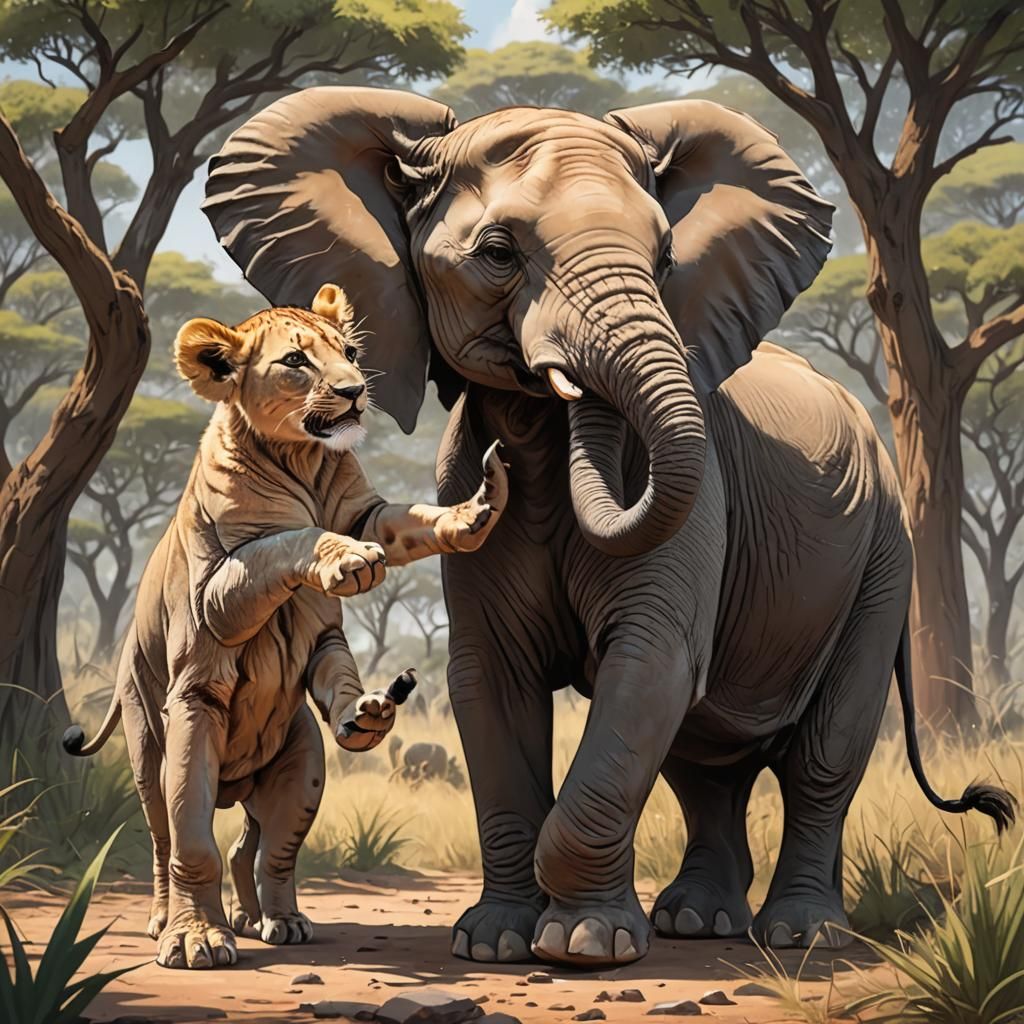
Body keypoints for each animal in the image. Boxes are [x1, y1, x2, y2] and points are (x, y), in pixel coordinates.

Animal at [63, 283, 507, 970]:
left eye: (350, 352)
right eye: (296, 362)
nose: (356, 390)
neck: (303, 457)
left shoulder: (361, 525)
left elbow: (406, 526)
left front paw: (473, 511)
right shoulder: (217, 596)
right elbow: (288, 539)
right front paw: (197, 941)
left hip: (302, 764)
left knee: (265, 849)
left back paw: (273, 919)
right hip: (156, 743)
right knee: (172, 838)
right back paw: (174, 924)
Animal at [202, 87, 1014, 967]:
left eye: (665, 259)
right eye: (498, 252)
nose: (501, 467)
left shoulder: (706, 505)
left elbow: (648, 663)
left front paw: (584, 945)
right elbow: (490, 681)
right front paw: (492, 944)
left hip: (883, 563)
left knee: (823, 753)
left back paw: (803, 937)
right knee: (705, 763)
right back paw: (698, 922)